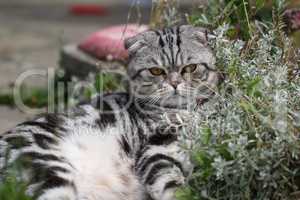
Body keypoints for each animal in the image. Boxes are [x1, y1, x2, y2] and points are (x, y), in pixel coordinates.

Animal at [0, 25, 220, 200]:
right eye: (156, 71)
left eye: (190, 68)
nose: (175, 83)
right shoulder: (156, 150)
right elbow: (174, 187)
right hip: (52, 171)